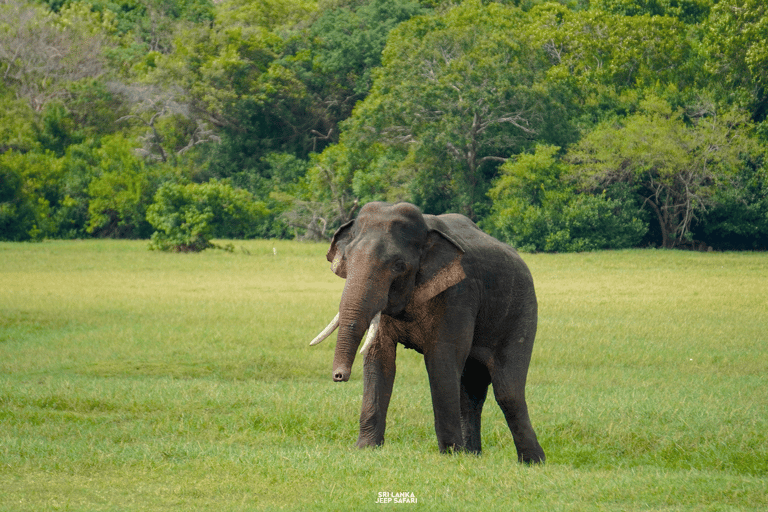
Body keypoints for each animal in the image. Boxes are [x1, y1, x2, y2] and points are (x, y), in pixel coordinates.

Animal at [308, 202, 544, 462]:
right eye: (348, 259)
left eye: (399, 266)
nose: (339, 376)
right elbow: (380, 358)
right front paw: (365, 449)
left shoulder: (458, 293)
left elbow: (440, 360)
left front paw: (450, 455)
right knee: (471, 389)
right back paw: (473, 456)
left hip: (521, 311)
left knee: (507, 391)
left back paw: (533, 462)